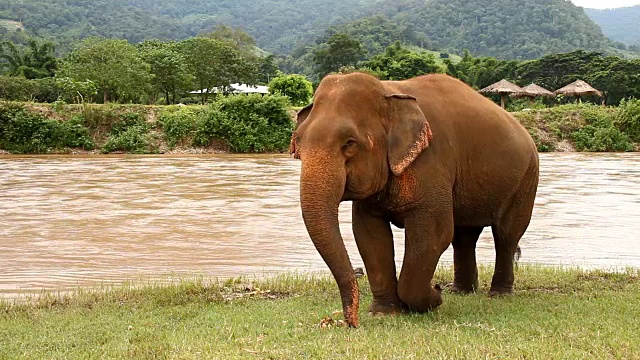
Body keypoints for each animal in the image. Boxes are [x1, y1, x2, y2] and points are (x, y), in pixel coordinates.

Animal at [290, 71, 540, 328]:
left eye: (349, 143)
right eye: (298, 141)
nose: (350, 323)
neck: (388, 90)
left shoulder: (431, 161)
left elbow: (433, 233)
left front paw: (434, 298)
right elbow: (369, 235)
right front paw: (384, 313)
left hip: (526, 179)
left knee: (506, 235)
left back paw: (498, 295)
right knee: (464, 236)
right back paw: (460, 291)